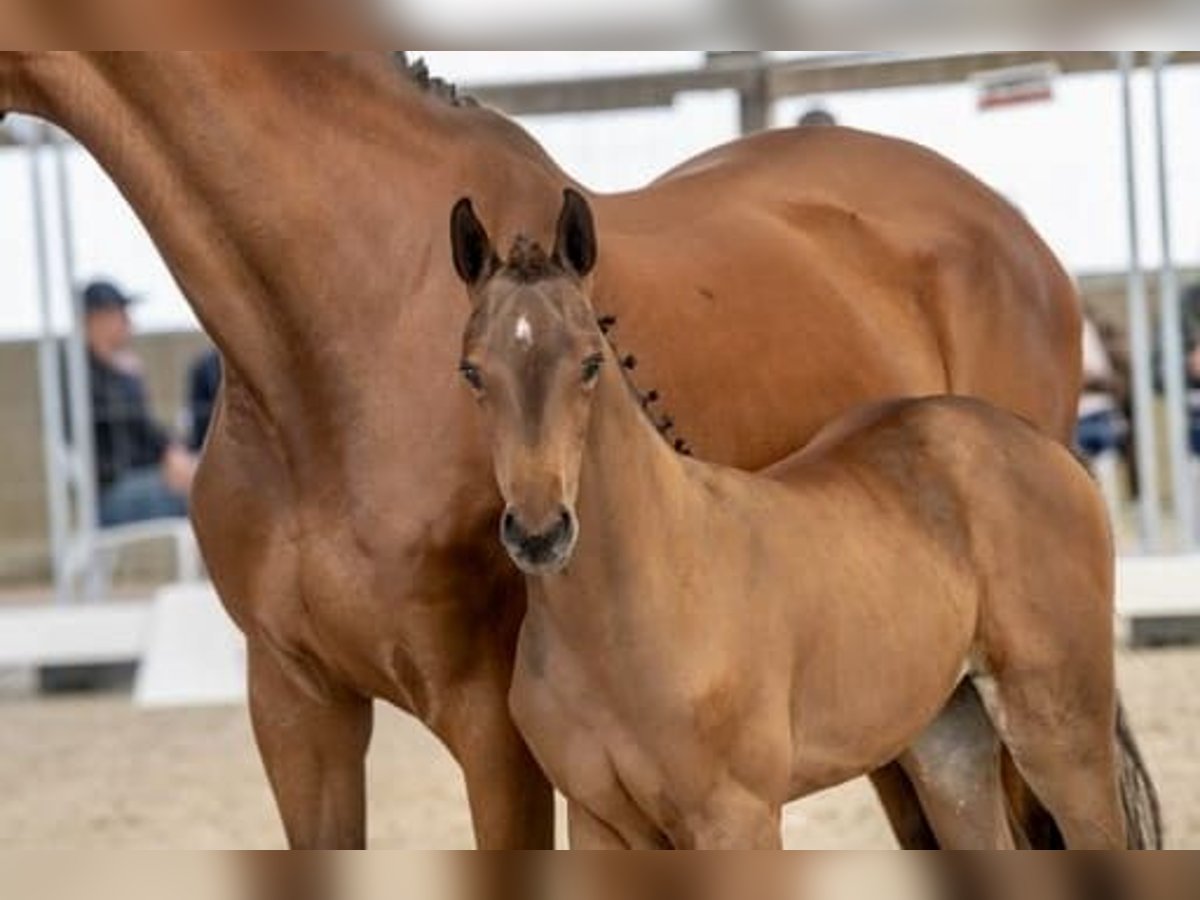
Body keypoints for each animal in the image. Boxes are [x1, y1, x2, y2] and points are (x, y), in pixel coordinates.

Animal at [453, 192, 1147, 854]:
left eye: (590, 362)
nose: (540, 533)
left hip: (1061, 731)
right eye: (472, 371)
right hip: (950, 741)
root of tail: (1050, 450)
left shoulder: (738, 819)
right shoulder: (600, 824)